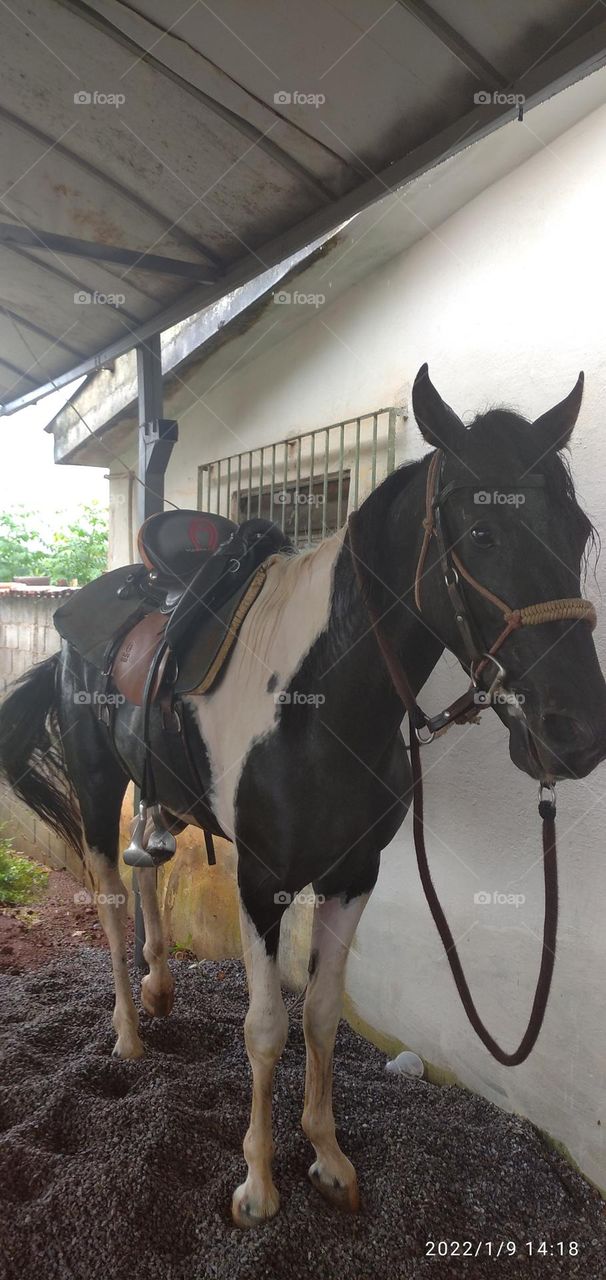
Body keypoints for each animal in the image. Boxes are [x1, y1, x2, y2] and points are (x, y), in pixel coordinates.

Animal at [1, 365, 605, 1228]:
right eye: (483, 534)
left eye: (580, 529)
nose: (576, 734)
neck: (323, 707)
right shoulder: (262, 882)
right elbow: (266, 1027)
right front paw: (257, 1185)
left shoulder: (354, 875)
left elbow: (320, 1013)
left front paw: (328, 1158)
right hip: (93, 784)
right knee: (112, 900)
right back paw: (127, 1031)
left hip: (160, 793)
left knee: (149, 868)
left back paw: (159, 987)